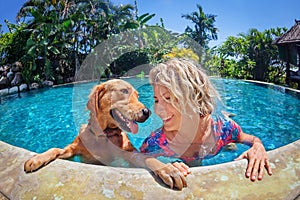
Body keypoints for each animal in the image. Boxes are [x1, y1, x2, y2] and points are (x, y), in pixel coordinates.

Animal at [23, 79, 151, 172]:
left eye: (137, 96)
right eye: (124, 91)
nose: (147, 112)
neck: (103, 135)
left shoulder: (128, 153)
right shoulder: (72, 150)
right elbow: (55, 149)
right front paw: (37, 159)